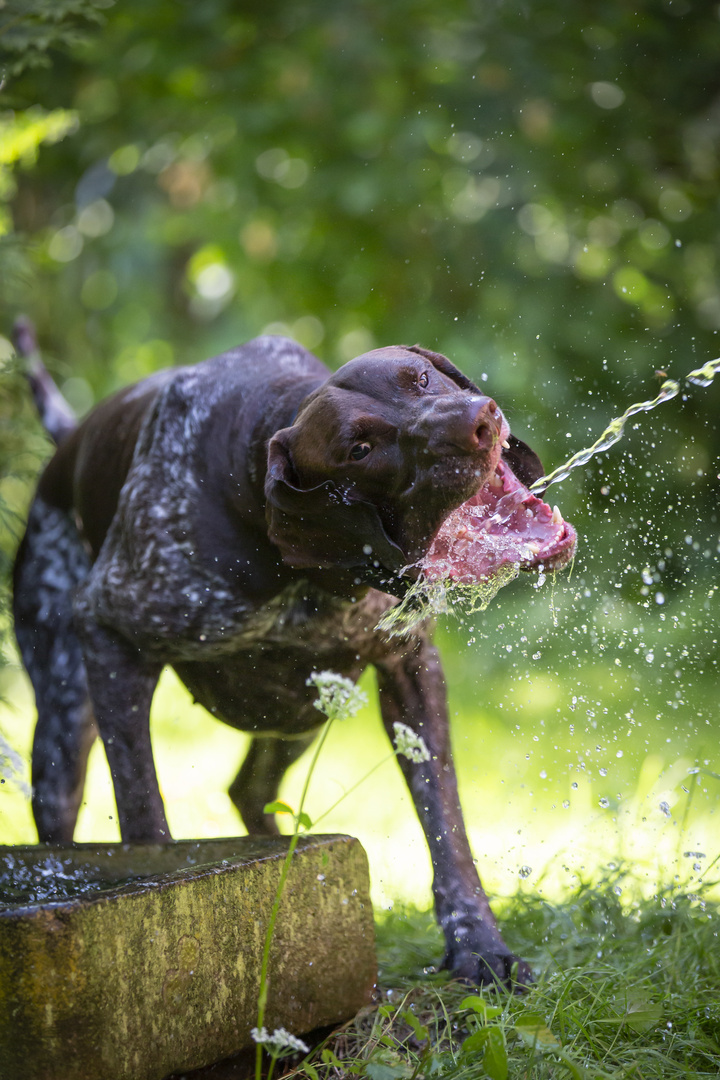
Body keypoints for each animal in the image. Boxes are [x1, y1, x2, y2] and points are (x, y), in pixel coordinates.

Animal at [12, 332, 574, 984]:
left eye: (420, 379)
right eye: (360, 448)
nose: (479, 422)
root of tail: (67, 440)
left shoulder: (409, 669)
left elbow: (446, 826)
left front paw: (478, 944)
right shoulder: (109, 635)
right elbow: (145, 818)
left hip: (303, 711)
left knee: (248, 791)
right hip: (64, 724)